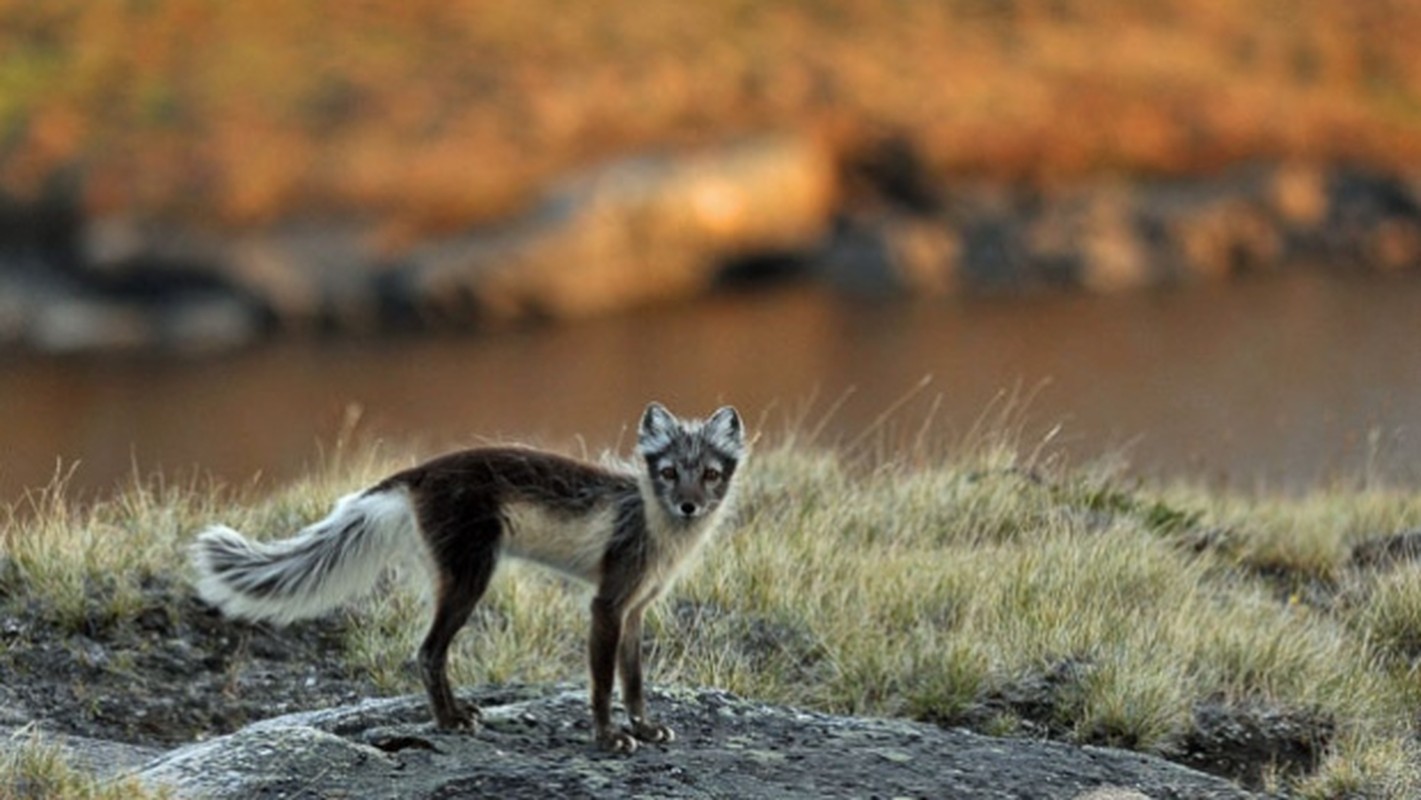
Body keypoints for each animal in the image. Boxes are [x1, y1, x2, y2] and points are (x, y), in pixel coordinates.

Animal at [190, 403, 750, 755]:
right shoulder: (606, 604)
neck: (657, 529)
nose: (689, 506)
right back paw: (449, 721)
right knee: (427, 652)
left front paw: (646, 728)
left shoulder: (636, 608)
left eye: (711, 474)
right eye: (670, 472)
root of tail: (416, 472)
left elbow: (633, 681)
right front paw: (608, 738)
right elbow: (601, 684)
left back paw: (458, 713)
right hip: (470, 579)